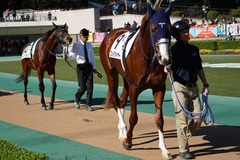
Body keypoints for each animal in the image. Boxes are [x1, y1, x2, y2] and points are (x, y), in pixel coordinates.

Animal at [100, 1, 173, 159]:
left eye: (170, 29)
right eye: (153, 29)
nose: (165, 58)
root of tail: (111, 33)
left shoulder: (159, 88)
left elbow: (159, 119)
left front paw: (164, 149)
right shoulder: (135, 88)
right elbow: (134, 117)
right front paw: (128, 140)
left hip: (125, 78)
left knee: (121, 101)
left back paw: (122, 130)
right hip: (111, 75)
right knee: (116, 101)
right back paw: (123, 130)